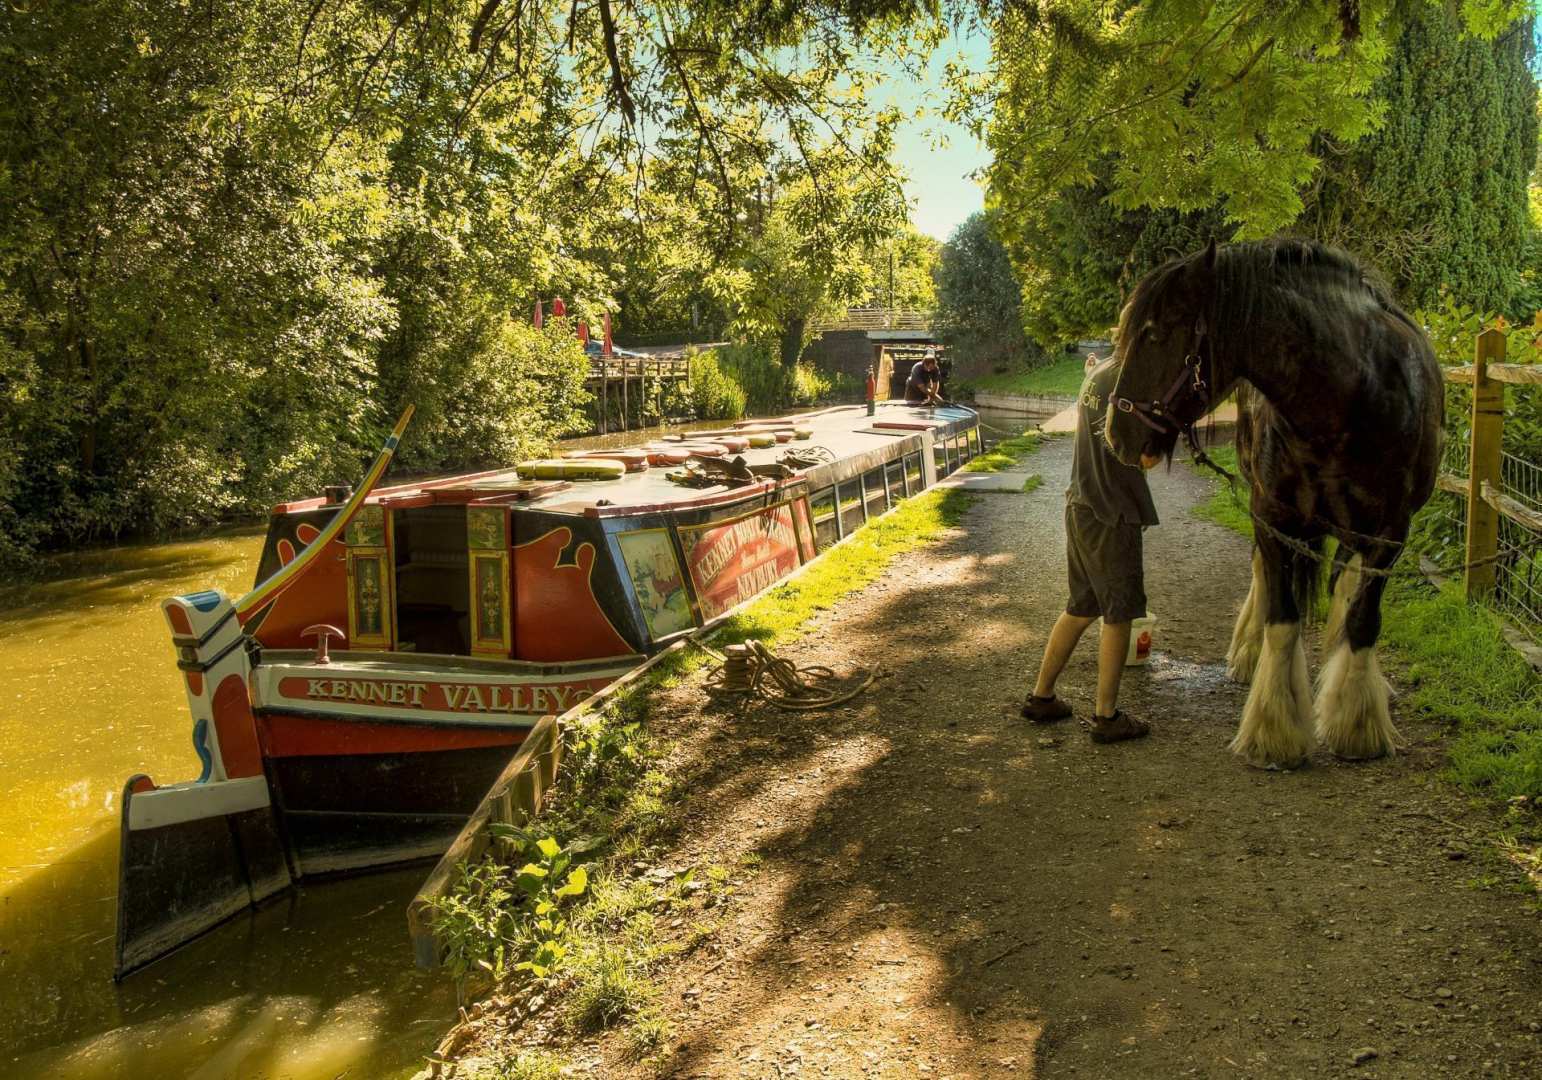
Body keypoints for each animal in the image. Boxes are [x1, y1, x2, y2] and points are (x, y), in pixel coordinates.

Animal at [1110, 242, 1443, 768]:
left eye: (1156, 333)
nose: (1115, 434)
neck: (1348, 400)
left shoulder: (1388, 534)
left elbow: (1362, 618)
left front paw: (1356, 723)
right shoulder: (1271, 518)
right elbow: (1282, 615)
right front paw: (1275, 732)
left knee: (1343, 585)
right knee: (1262, 578)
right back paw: (1248, 654)